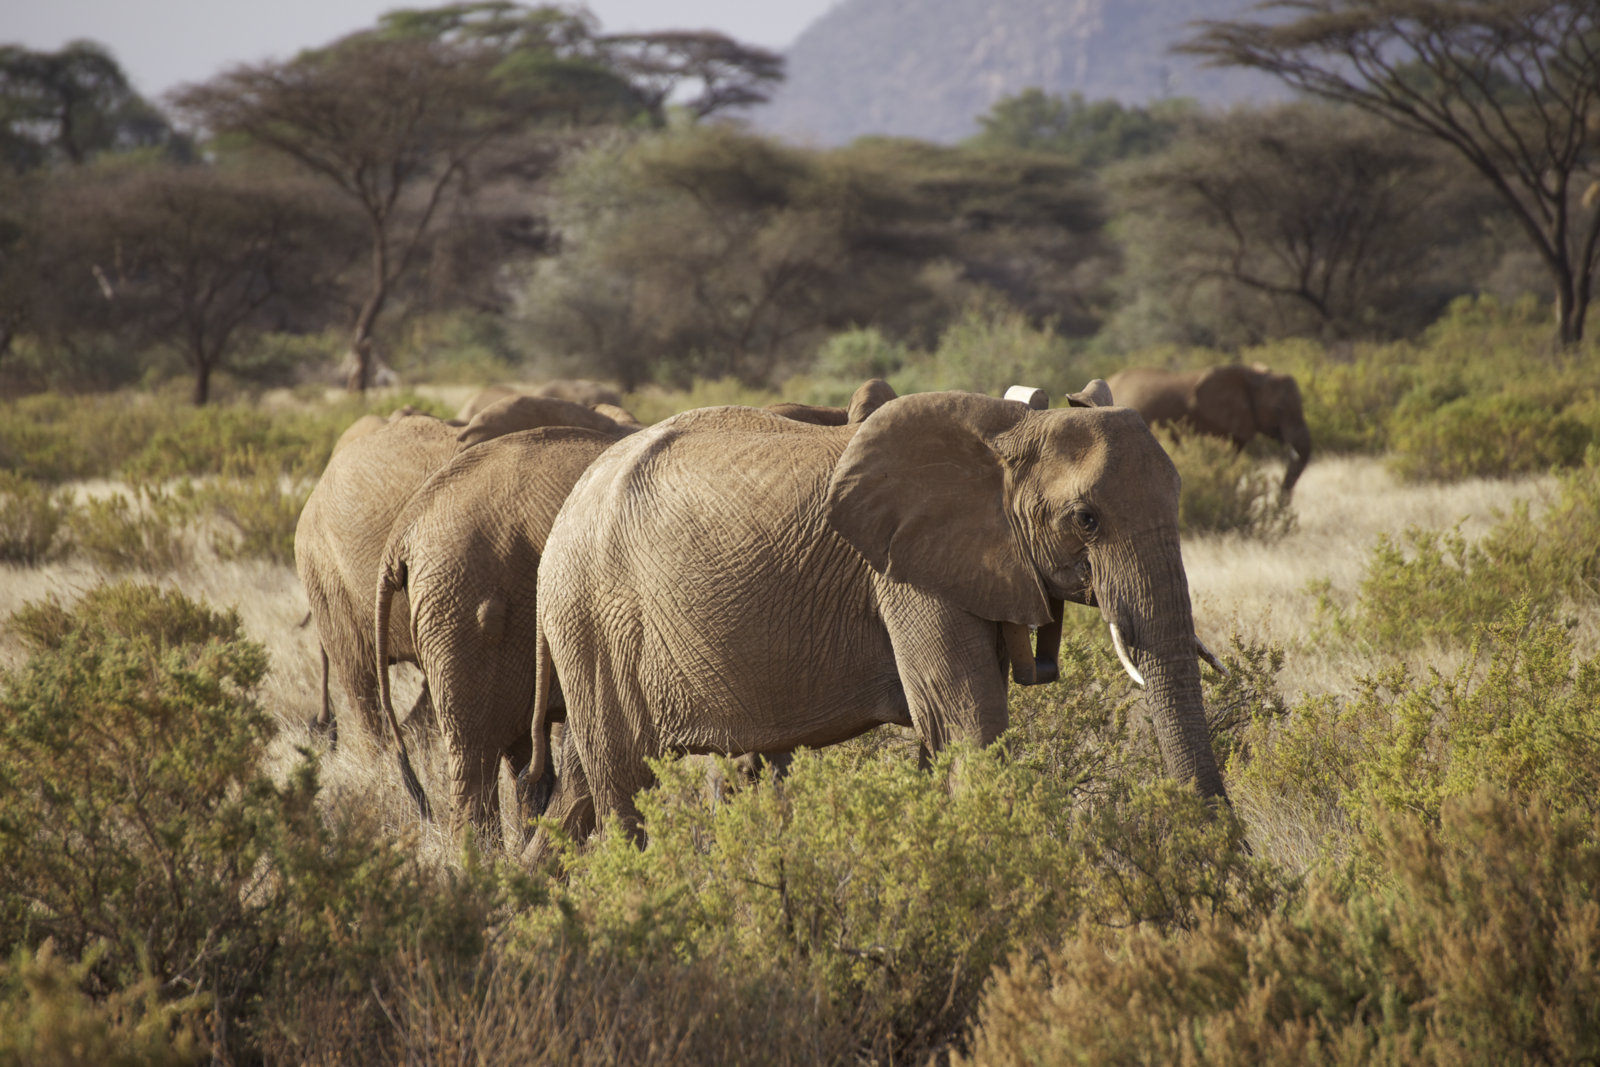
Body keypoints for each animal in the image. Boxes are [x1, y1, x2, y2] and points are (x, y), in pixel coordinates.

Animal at [524, 384, 1228, 853]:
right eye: (1086, 519)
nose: (1219, 855)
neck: (1012, 432)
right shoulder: (906, 574)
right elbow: (964, 720)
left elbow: (945, 733)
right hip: (593, 615)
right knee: (624, 778)